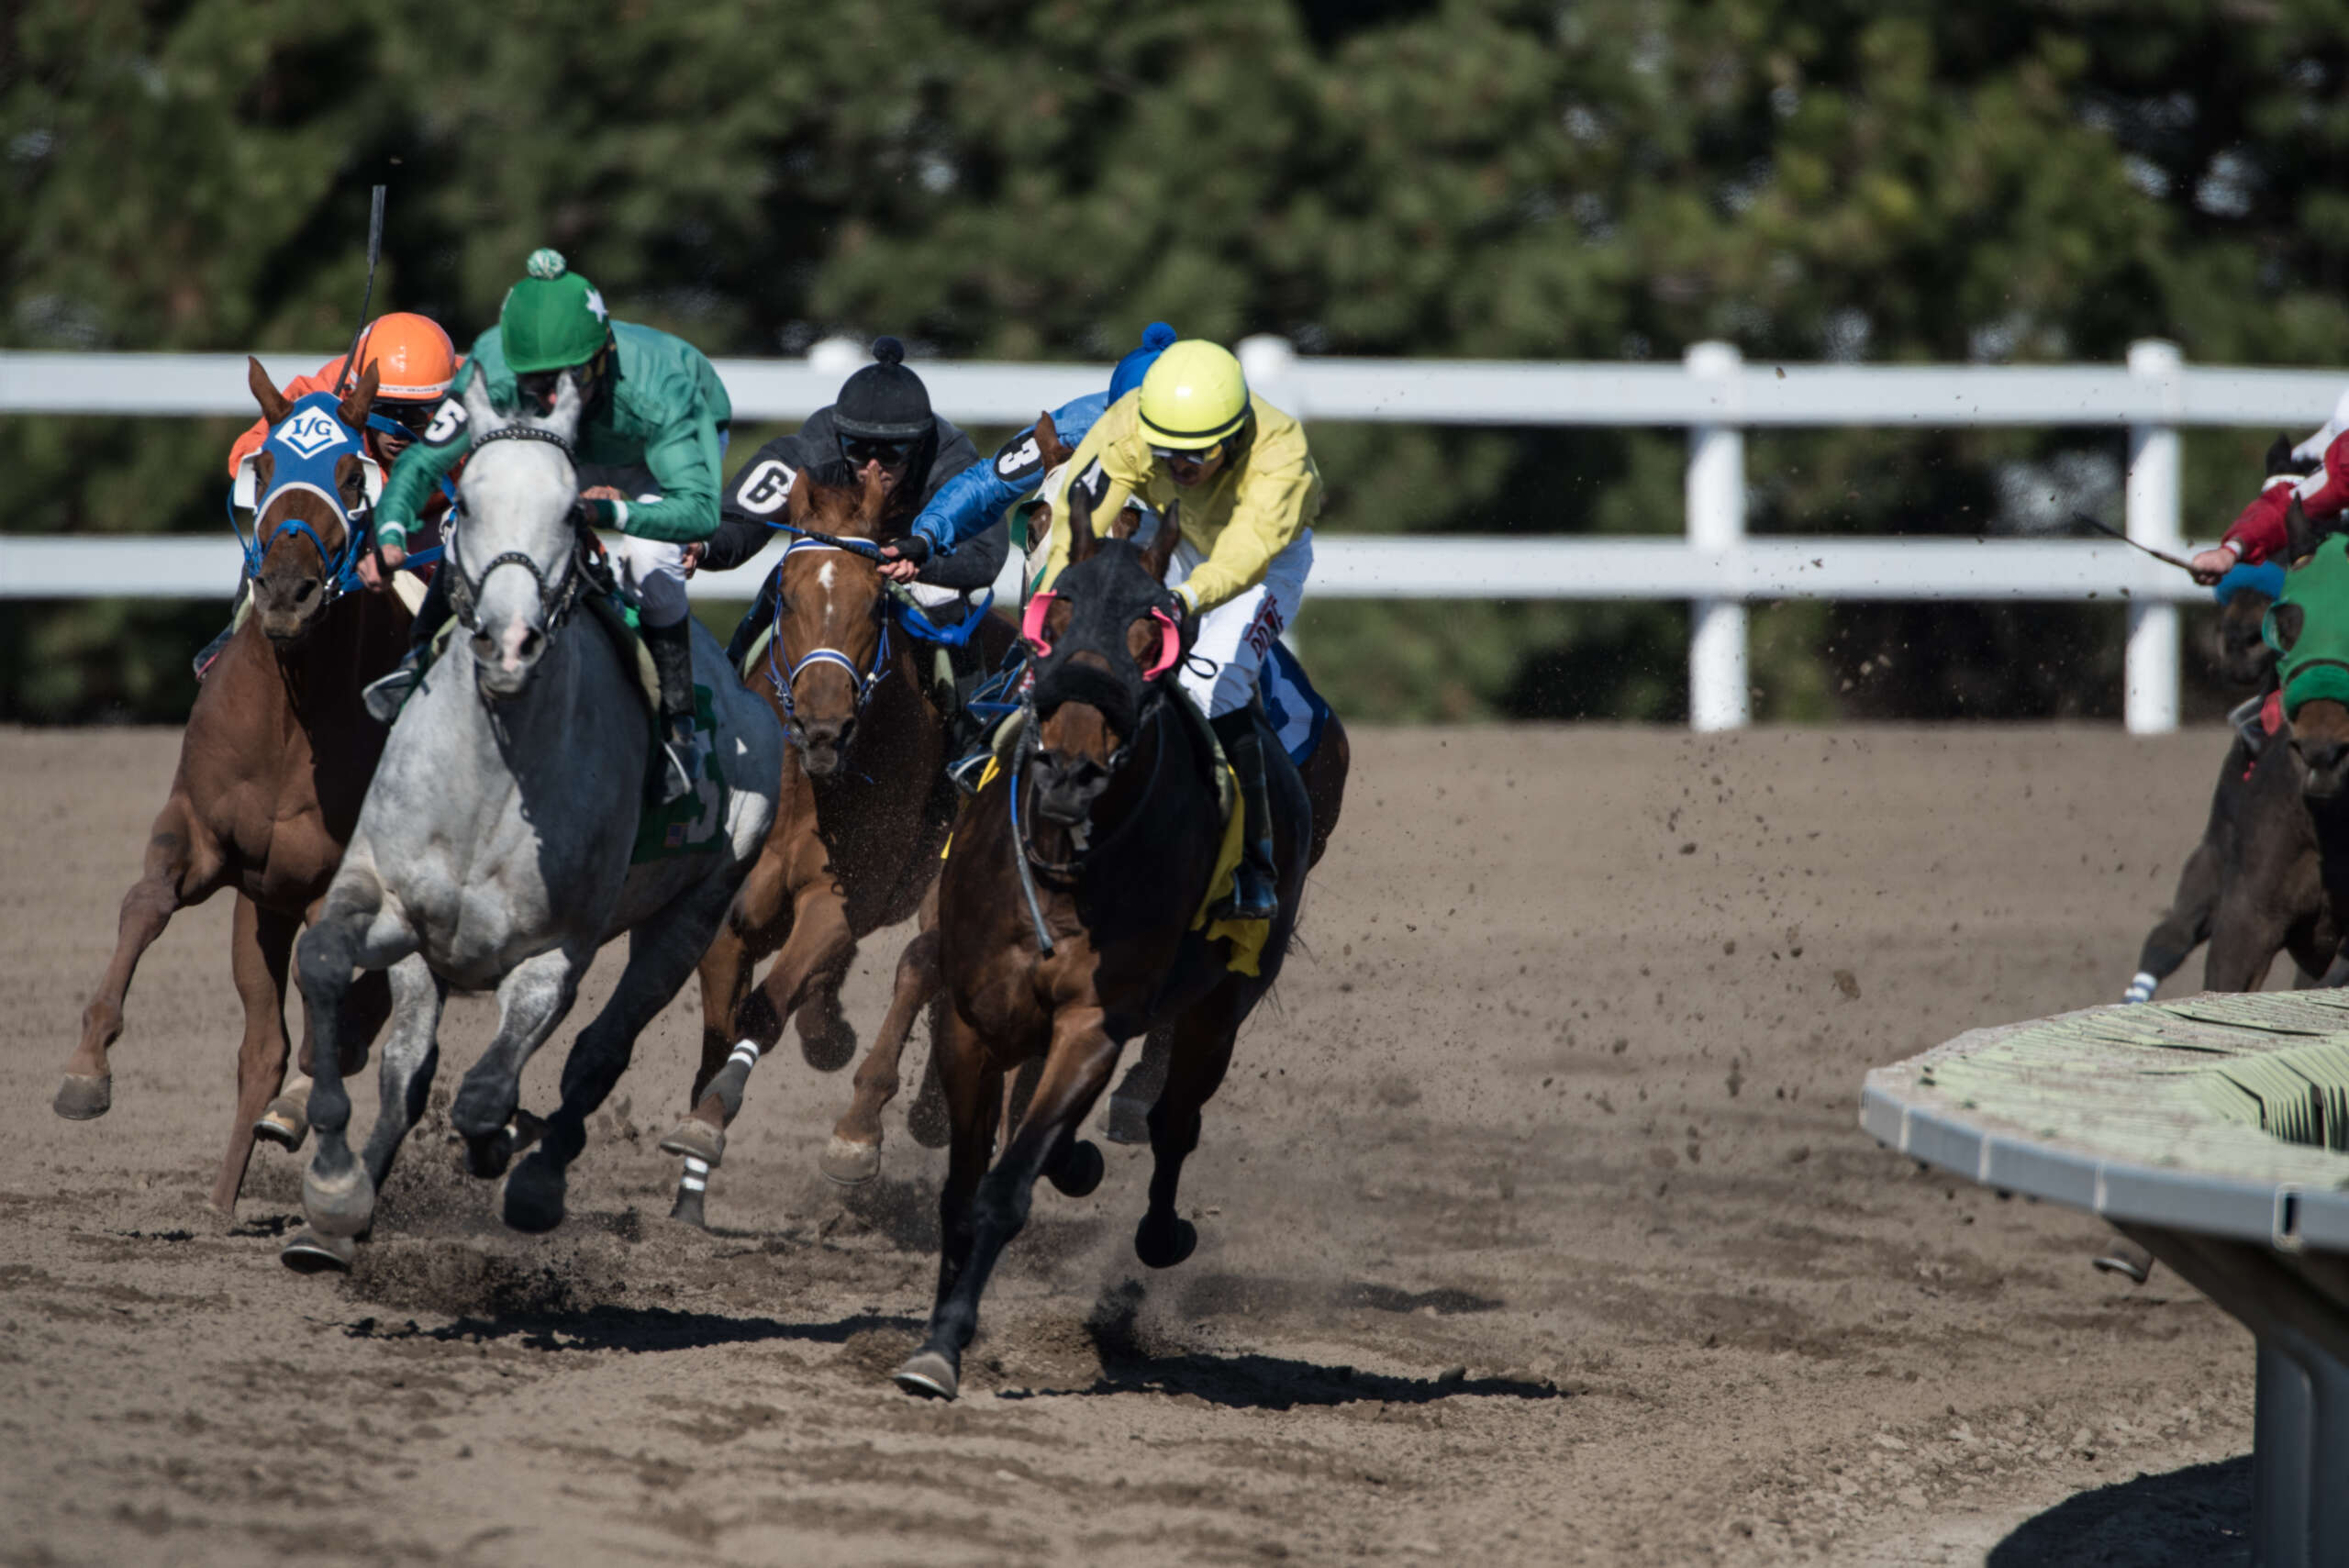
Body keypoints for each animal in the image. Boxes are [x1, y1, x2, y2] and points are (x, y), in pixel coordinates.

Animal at [58, 363, 408, 1211]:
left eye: (353, 476)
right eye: (268, 463)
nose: (285, 593)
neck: (289, 719)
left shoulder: (330, 879)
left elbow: (331, 1003)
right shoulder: (204, 835)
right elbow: (145, 903)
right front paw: (86, 1069)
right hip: (259, 910)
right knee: (263, 1047)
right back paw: (222, 1201)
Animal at [283, 373, 779, 1267]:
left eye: (569, 512)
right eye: (467, 503)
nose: (508, 644)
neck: (492, 776)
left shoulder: (556, 953)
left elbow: (487, 1092)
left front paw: (504, 1142)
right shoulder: (392, 901)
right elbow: (333, 974)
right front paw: (336, 1188)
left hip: (694, 914)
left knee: (597, 1053)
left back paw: (538, 1174)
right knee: (411, 1064)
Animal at [657, 455, 1014, 1220]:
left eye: (877, 600)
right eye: (787, 596)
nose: (824, 728)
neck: (807, 790)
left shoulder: (838, 898)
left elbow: (763, 1009)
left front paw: (710, 1124)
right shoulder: (734, 907)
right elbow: (725, 1016)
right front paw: (692, 1162)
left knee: (925, 967)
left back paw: (875, 1127)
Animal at [887, 490, 1324, 1398]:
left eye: (1150, 640)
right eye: (1054, 619)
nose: (1068, 772)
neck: (1062, 868)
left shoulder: (1094, 1024)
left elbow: (1005, 1189)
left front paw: (945, 1343)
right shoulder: (971, 1018)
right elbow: (961, 1189)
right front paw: (934, 1332)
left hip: (1220, 1008)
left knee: (1175, 1120)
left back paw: (1161, 1229)